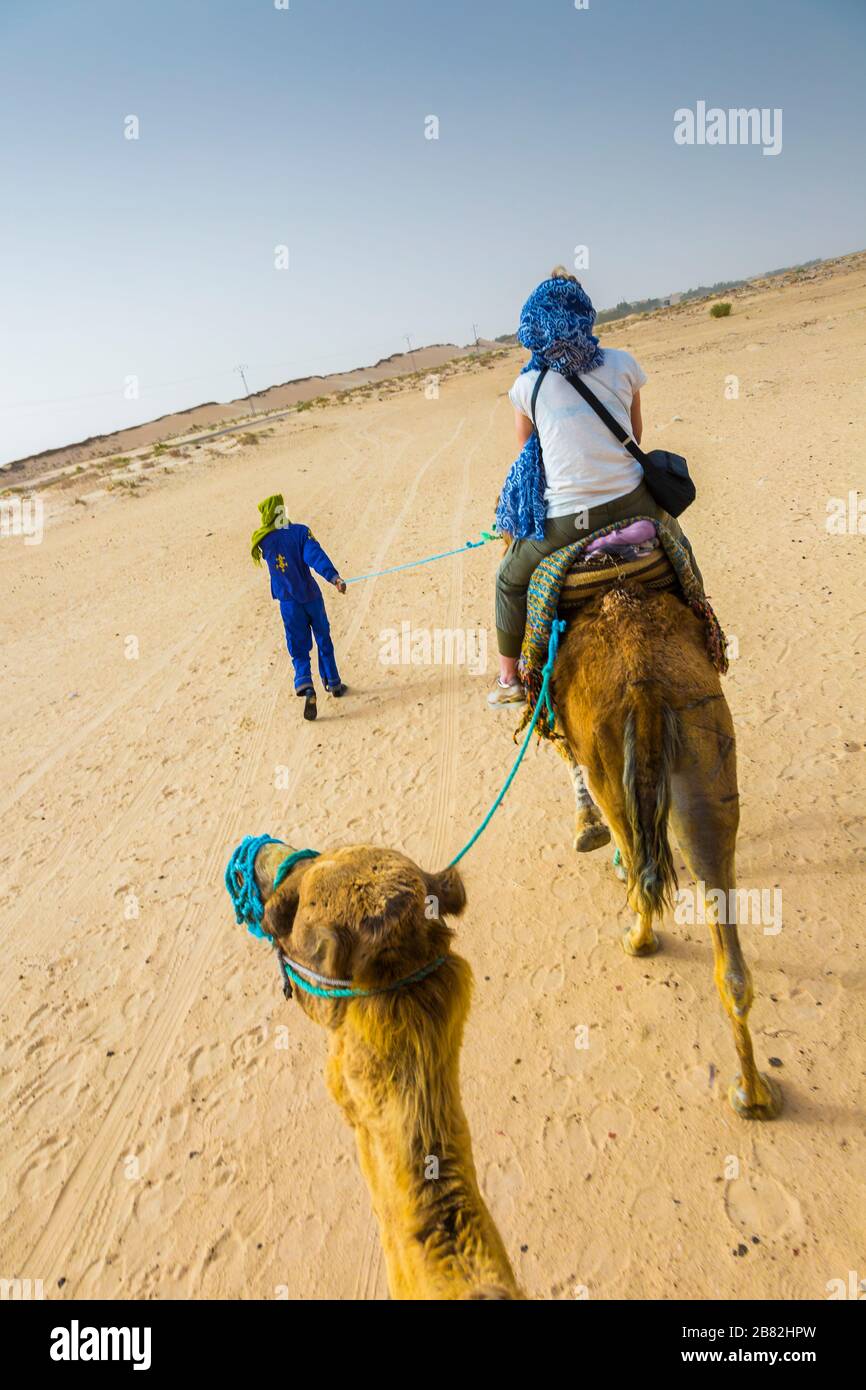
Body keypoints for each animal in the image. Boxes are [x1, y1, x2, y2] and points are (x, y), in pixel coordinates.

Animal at [547, 581, 783, 1123]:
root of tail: (645, 688)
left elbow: (571, 768)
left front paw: (588, 834)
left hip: (612, 763)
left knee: (640, 868)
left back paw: (638, 940)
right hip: (707, 751)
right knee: (728, 947)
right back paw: (754, 1094)